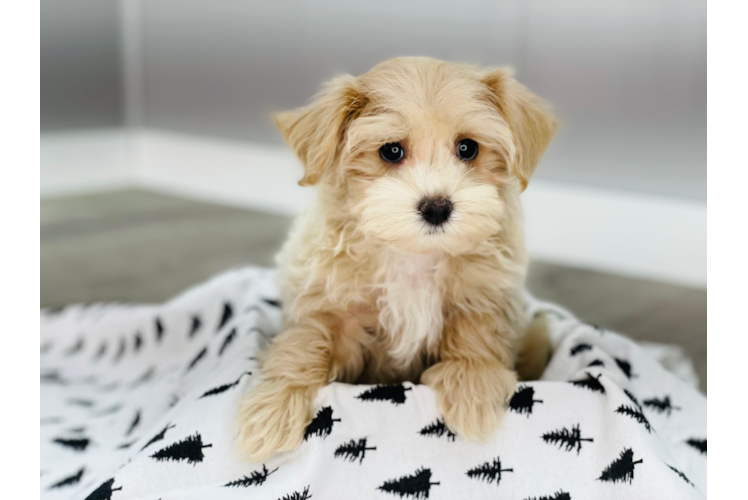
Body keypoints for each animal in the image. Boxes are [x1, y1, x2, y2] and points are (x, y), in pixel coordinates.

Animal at [235, 55, 556, 460]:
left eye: (468, 148)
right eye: (391, 151)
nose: (437, 208)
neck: (411, 252)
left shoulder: (483, 295)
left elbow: (476, 335)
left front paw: (472, 390)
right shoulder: (331, 310)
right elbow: (304, 343)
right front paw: (274, 408)